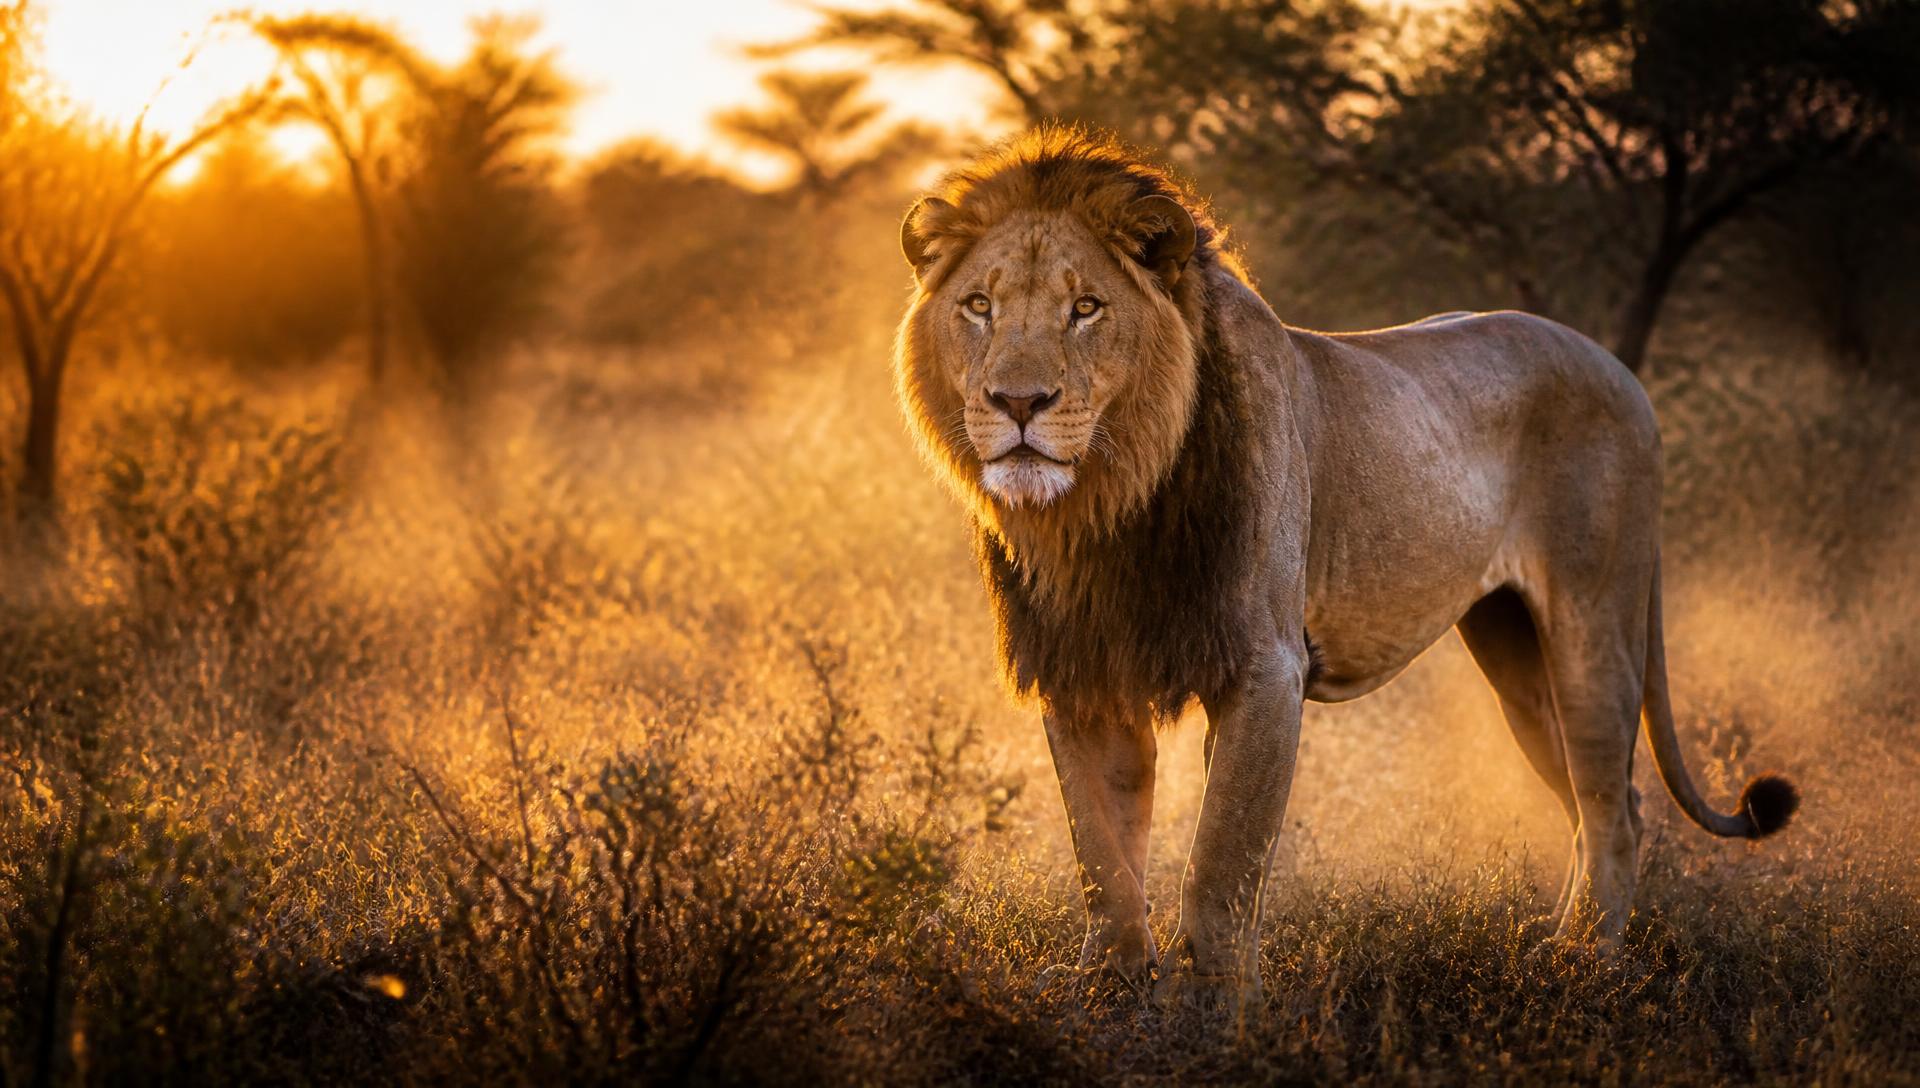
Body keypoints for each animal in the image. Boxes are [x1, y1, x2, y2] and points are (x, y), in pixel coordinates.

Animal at [891, 127, 1800, 1009]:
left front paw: (1214, 1006)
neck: (1106, 510)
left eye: (1085, 308)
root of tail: (1625, 373)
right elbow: (1102, 849)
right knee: (1594, 796)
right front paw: (1107, 981)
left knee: (1614, 802)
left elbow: (1222, 854)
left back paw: (1585, 964)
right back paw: (1556, 941)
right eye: (979, 307)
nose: (1018, 404)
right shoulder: (1083, 671)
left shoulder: (1266, 666)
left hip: (1593, 622)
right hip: (1513, 653)